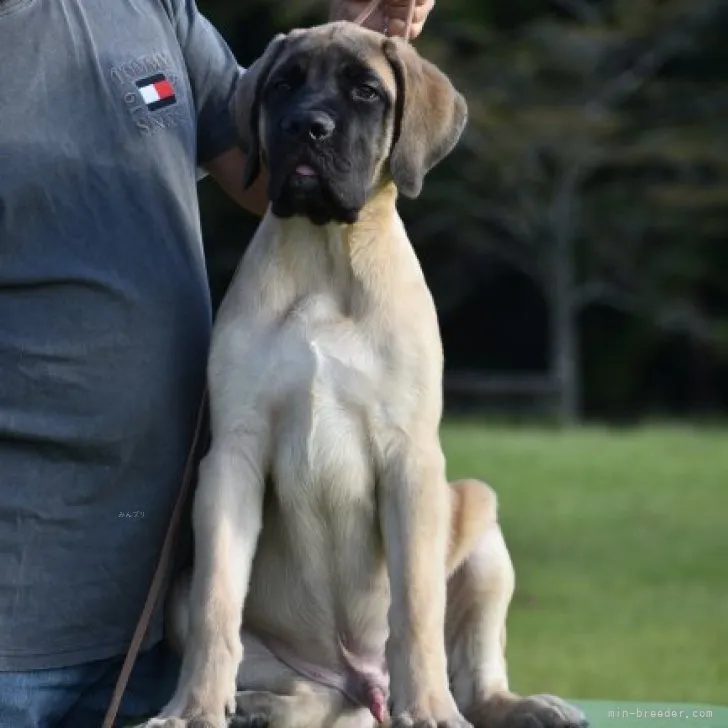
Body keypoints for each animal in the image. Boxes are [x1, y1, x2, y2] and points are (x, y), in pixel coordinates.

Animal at [145, 19, 588, 728]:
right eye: (282, 85)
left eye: (366, 93)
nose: (306, 127)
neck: (328, 254)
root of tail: (360, 682)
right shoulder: (234, 456)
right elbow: (219, 604)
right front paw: (193, 710)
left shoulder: (411, 462)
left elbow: (417, 608)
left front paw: (429, 708)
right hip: (196, 605)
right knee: (309, 696)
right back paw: (257, 706)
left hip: (479, 522)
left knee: (476, 676)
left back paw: (523, 705)